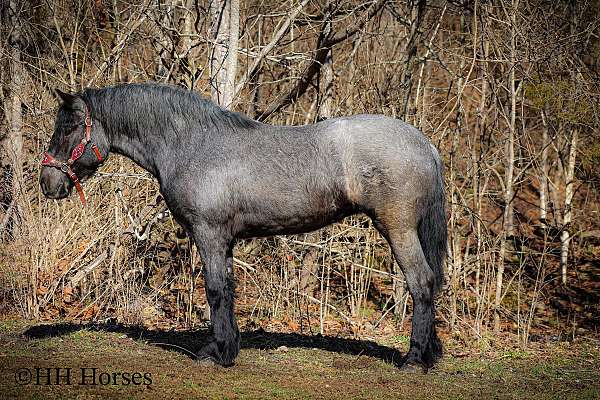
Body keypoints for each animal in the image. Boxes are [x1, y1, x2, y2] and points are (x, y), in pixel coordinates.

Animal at [39, 83, 448, 372]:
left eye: (70, 127)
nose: (48, 182)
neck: (191, 144)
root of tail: (424, 143)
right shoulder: (225, 241)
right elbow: (228, 291)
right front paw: (226, 347)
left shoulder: (208, 234)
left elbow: (215, 291)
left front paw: (214, 353)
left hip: (398, 229)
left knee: (422, 283)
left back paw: (414, 359)